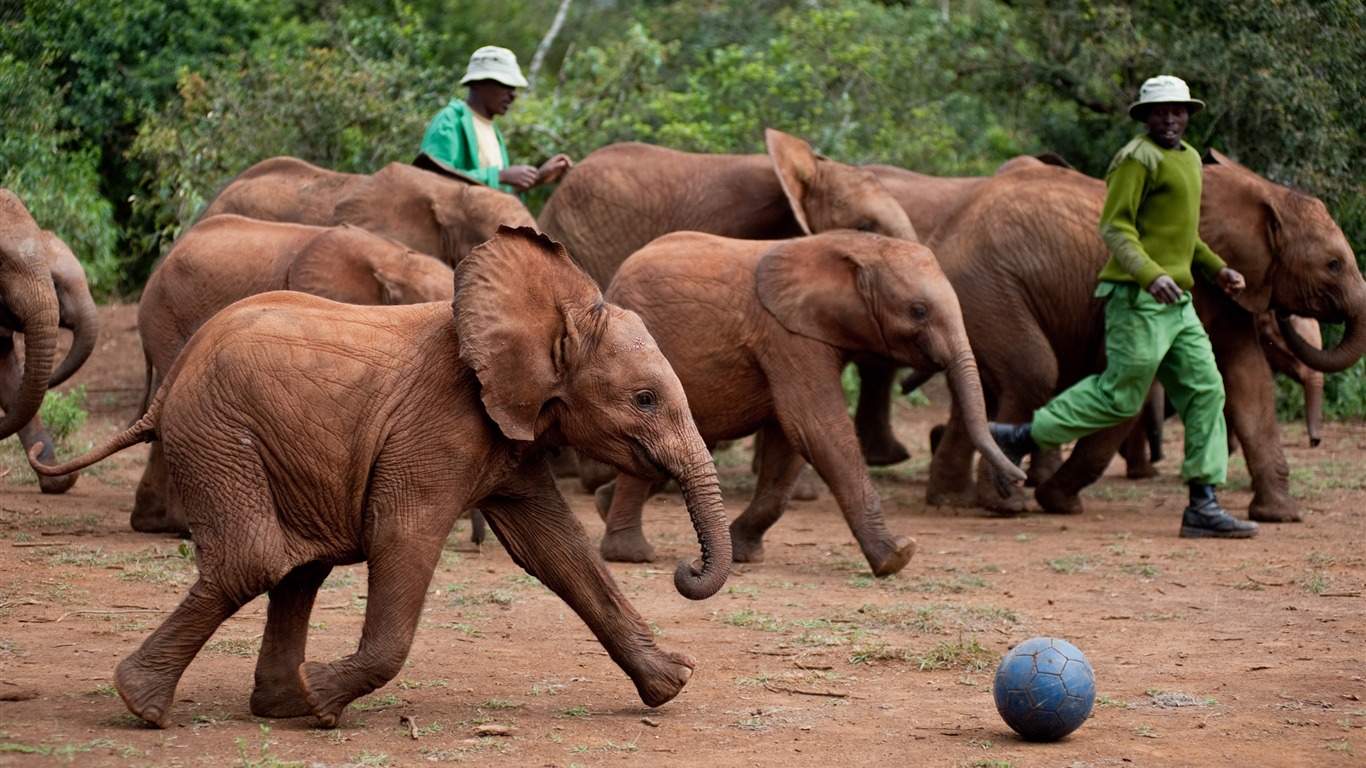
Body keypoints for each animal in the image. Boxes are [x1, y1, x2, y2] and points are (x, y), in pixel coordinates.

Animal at [32, 225, 732, 721]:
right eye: (645, 399)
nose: (685, 570)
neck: (552, 311)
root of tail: (169, 382)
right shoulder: (438, 429)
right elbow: (404, 539)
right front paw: (325, 694)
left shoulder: (510, 436)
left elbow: (558, 552)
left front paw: (672, 683)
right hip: (219, 435)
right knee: (257, 562)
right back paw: (147, 705)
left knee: (298, 568)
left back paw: (278, 706)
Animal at [598, 229, 1027, 576]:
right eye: (918, 312)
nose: (1017, 481)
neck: (855, 246)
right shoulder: (788, 336)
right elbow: (816, 428)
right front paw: (896, 557)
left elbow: (788, 442)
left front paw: (744, 553)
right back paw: (630, 555)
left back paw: (604, 507)